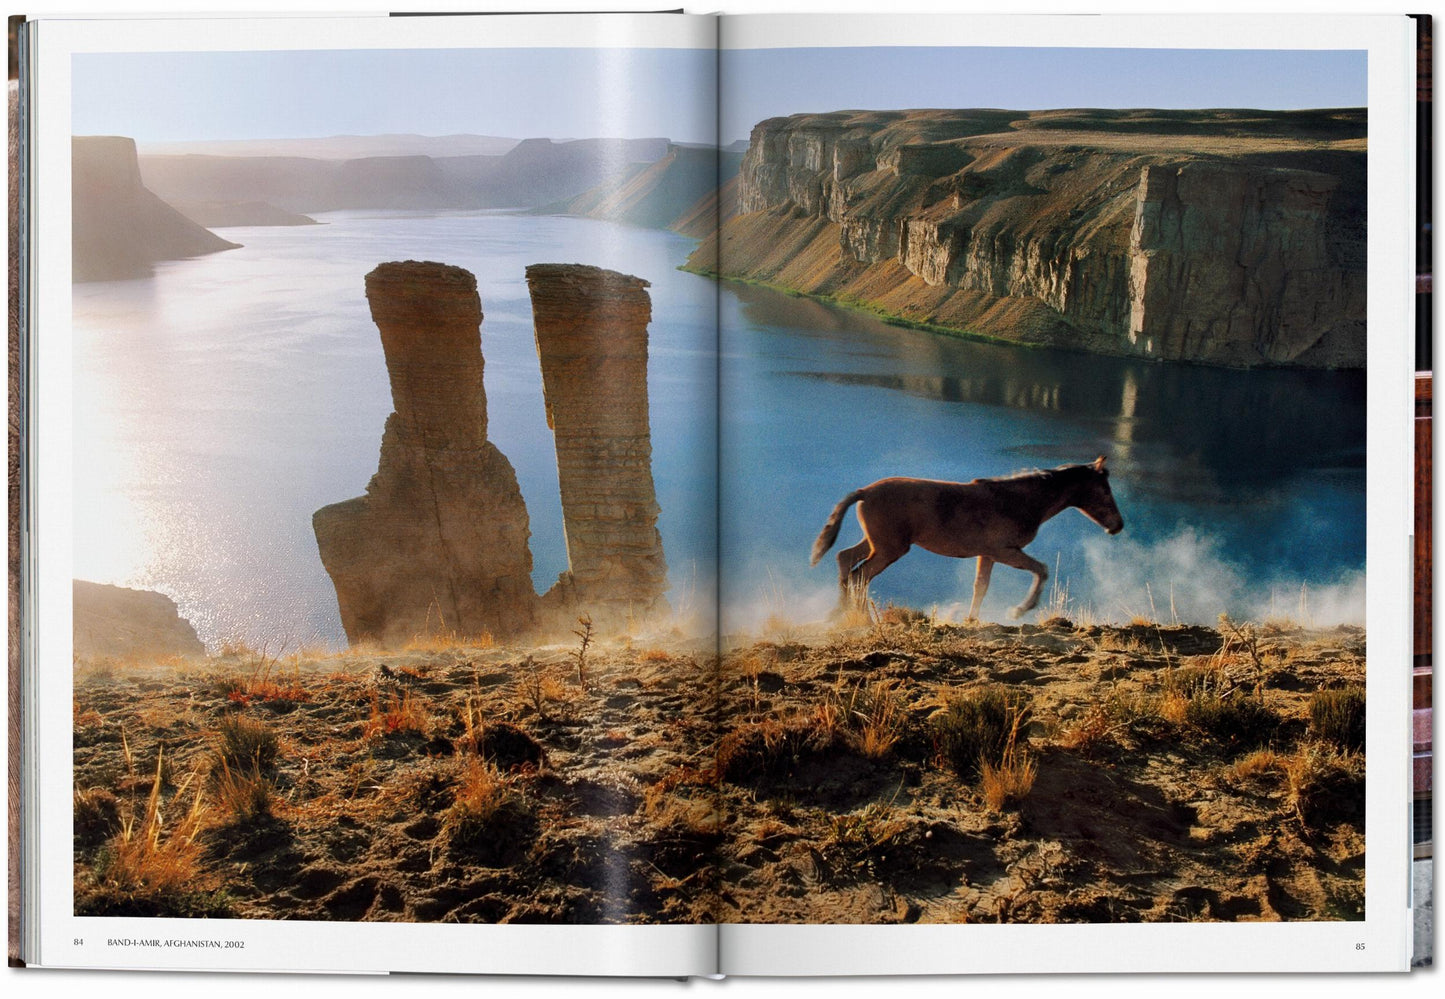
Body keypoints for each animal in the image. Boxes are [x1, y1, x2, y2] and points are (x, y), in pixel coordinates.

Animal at [809, 459, 1121, 618]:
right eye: (1105, 491)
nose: (1117, 526)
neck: (1018, 501)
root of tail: (864, 492)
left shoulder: (987, 554)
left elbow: (980, 587)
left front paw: (972, 620)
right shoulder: (1005, 551)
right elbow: (1041, 570)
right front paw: (1019, 610)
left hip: (878, 543)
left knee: (846, 559)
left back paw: (841, 612)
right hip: (889, 548)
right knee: (860, 574)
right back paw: (860, 618)